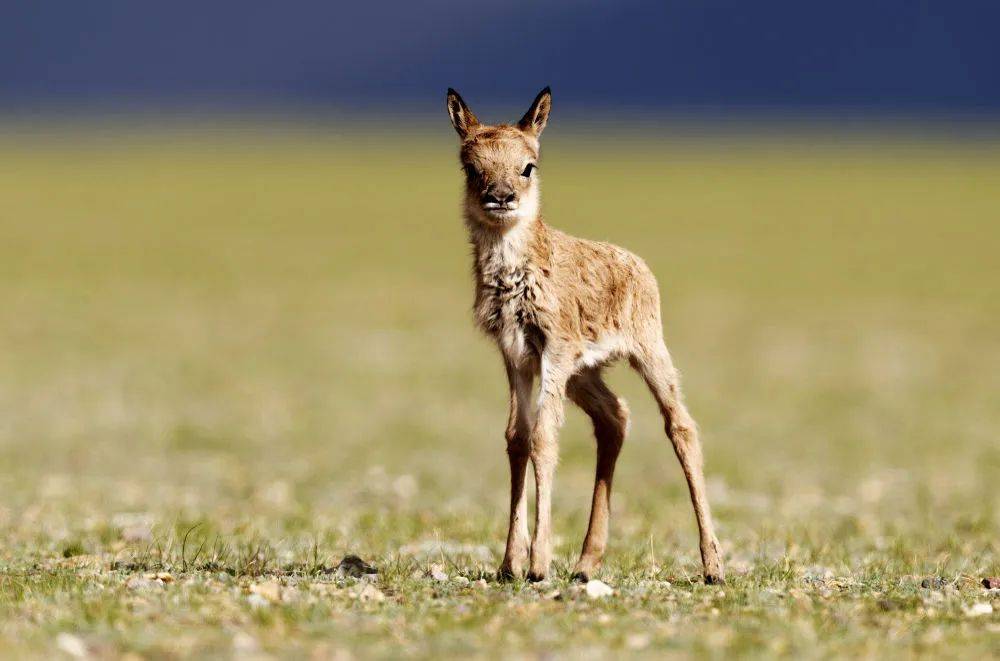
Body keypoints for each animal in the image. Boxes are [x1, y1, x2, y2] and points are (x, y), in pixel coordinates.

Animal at [450, 86, 724, 584]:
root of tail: (636, 263)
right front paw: (509, 562)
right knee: (615, 416)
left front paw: (538, 563)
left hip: (647, 353)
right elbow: (516, 437)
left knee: (681, 426)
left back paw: (713, 565)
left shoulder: (554, 351)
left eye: (529, 165)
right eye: (472, 166)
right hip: (584, 373)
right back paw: (585, 561)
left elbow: (543, 437)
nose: (501, 197)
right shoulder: (516, 355)